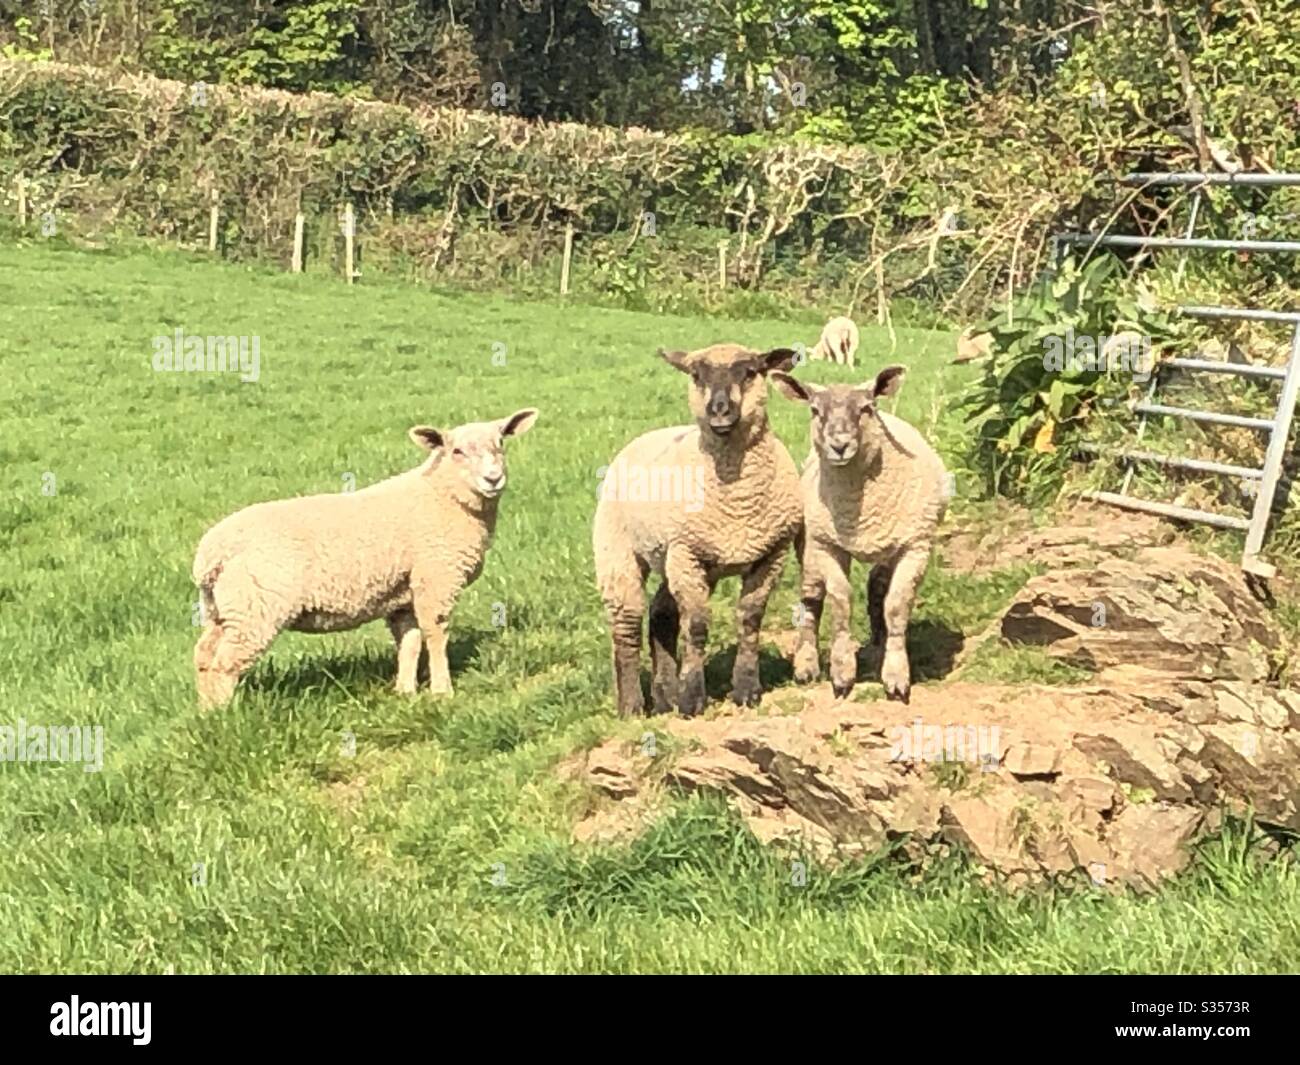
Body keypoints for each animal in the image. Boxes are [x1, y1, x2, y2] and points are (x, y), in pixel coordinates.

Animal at [191, 409, 539, 708]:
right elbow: (435, 633)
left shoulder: (404, 591)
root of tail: (210, 554)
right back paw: (226, 715)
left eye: (501, 443)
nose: (493, 479)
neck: (443, 497)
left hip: (222, 609)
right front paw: (443, 691)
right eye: (457, 451)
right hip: (256, 607)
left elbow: (409, 641)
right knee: (224, 663)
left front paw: (405, 691)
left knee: (204, 656)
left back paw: (206, 714)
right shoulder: (436, 578)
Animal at [593, 344, 803, 717]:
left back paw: (664, 698)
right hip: (618, 551)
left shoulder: (772, 553)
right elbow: (697, 624)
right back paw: (632, 706)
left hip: (676, 557)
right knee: (626, 625)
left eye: (750, 372)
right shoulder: (688, 553)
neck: (737, 501)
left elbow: (750, 618)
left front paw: (746, 690)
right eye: (695, 375)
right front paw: (692, 699)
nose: (718, 411)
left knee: (661, 613)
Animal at [770, 367, 948, 703]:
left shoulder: (915, 547)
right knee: (811, 599)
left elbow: (896, 605)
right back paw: (806, 665)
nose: (839, 445)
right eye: (815, 410)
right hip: (809, 545)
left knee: (878, 585)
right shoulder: (827, 545)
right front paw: (842, 674)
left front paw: (895, 675)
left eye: (866, 408)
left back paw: (878, 642)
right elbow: (840, 601)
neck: (861, 507)